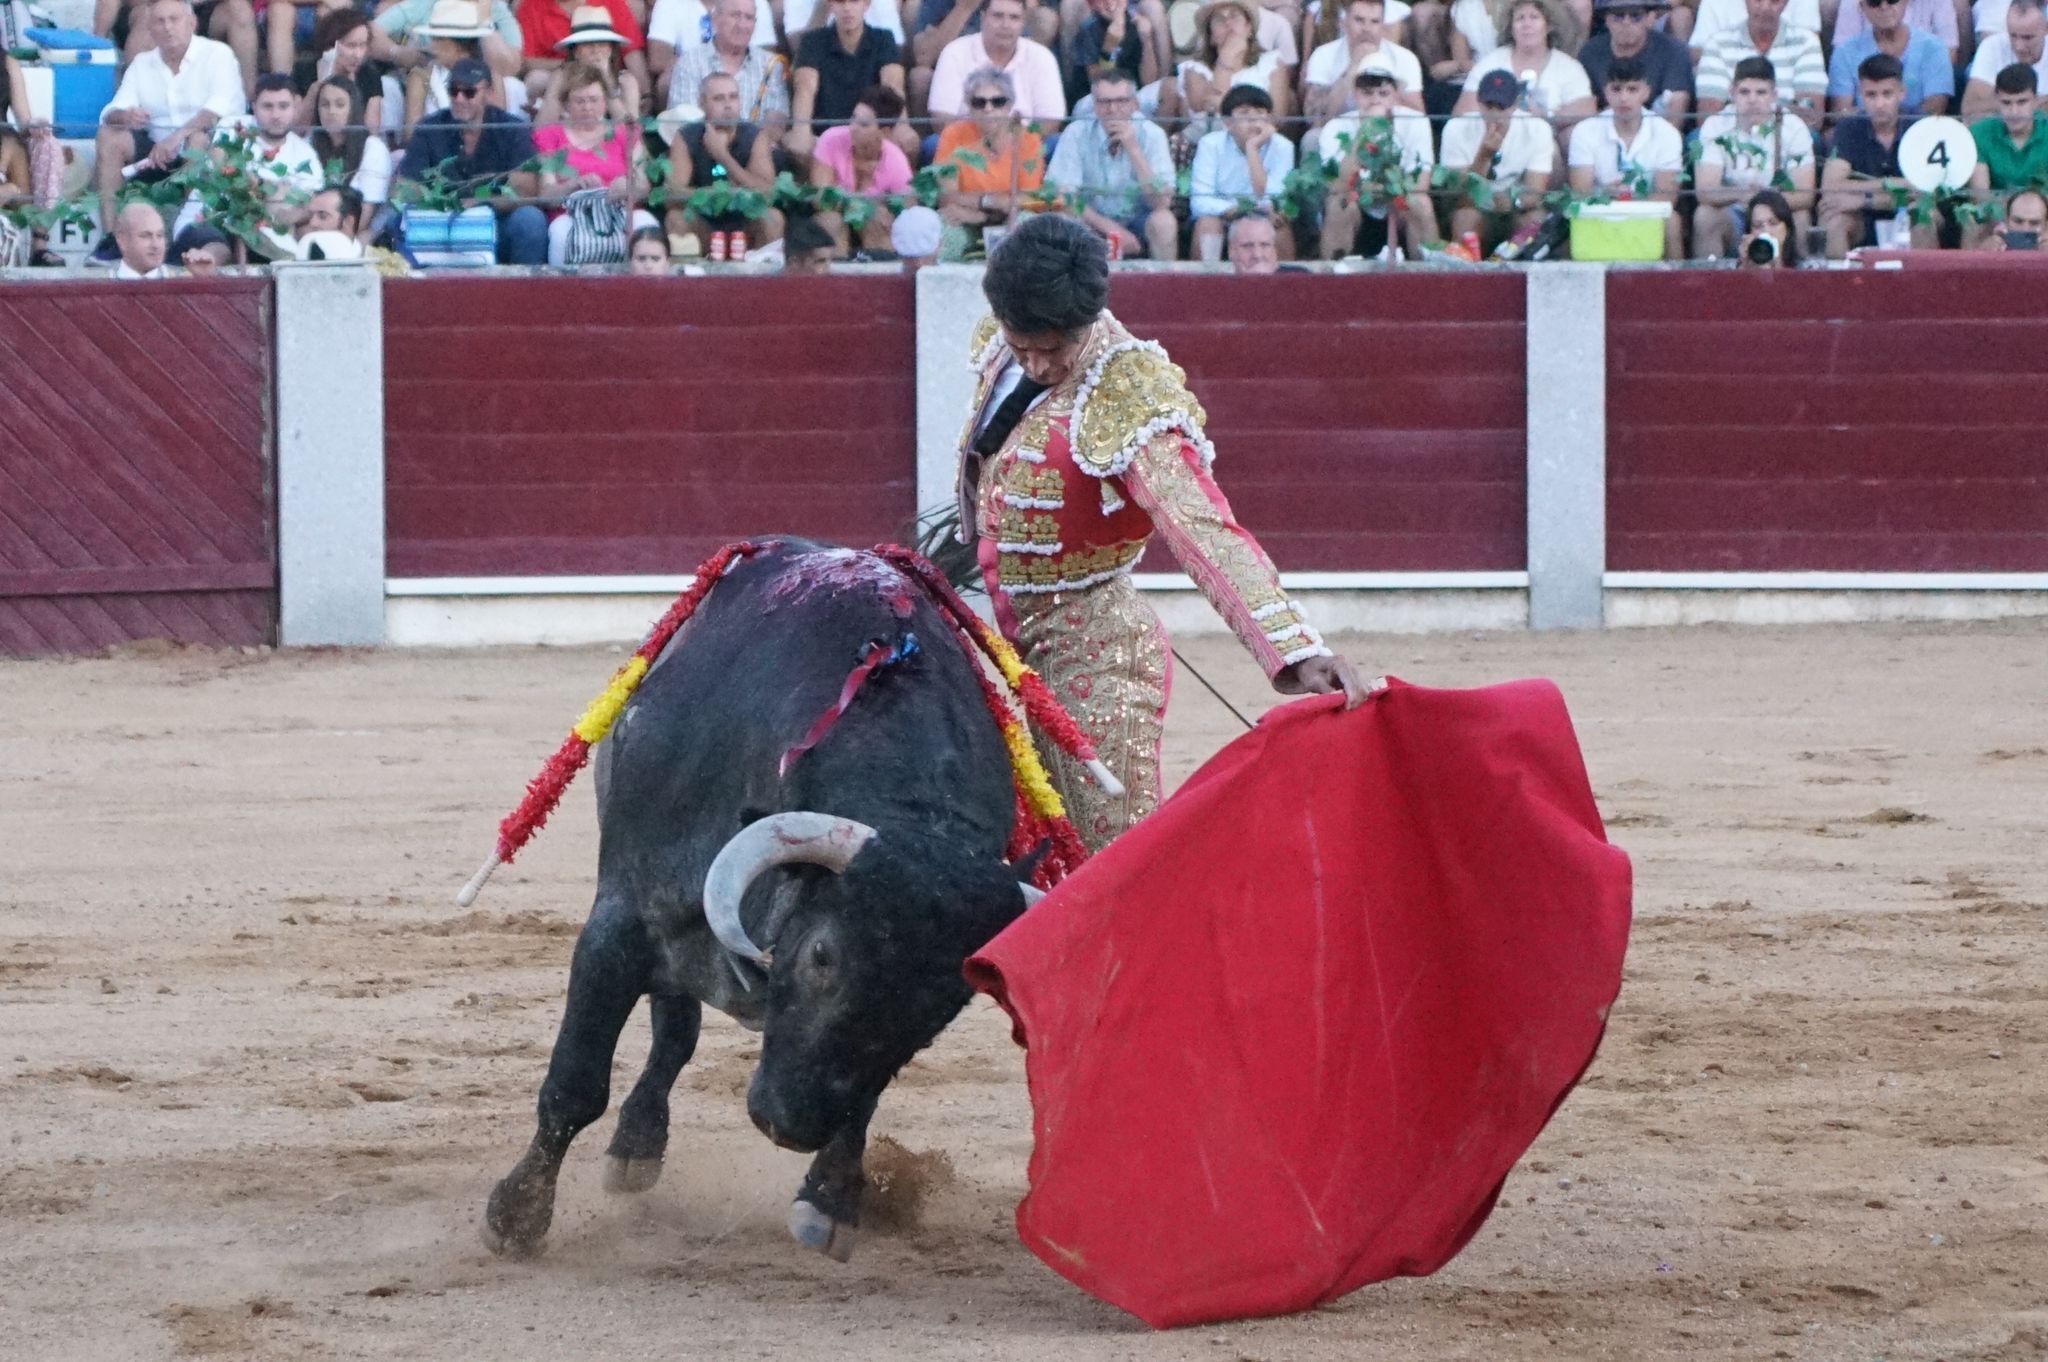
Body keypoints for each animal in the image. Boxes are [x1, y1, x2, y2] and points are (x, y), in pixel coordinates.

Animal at [483, 536, 1040, 1261]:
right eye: (822, 956)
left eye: (944, 1007)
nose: (790, 1125)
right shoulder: (621, 919)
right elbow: (576, 1083)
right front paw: (516, 1216)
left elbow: (863, 1093)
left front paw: (828, 1202)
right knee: (674, 1029)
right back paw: (635, 1148)